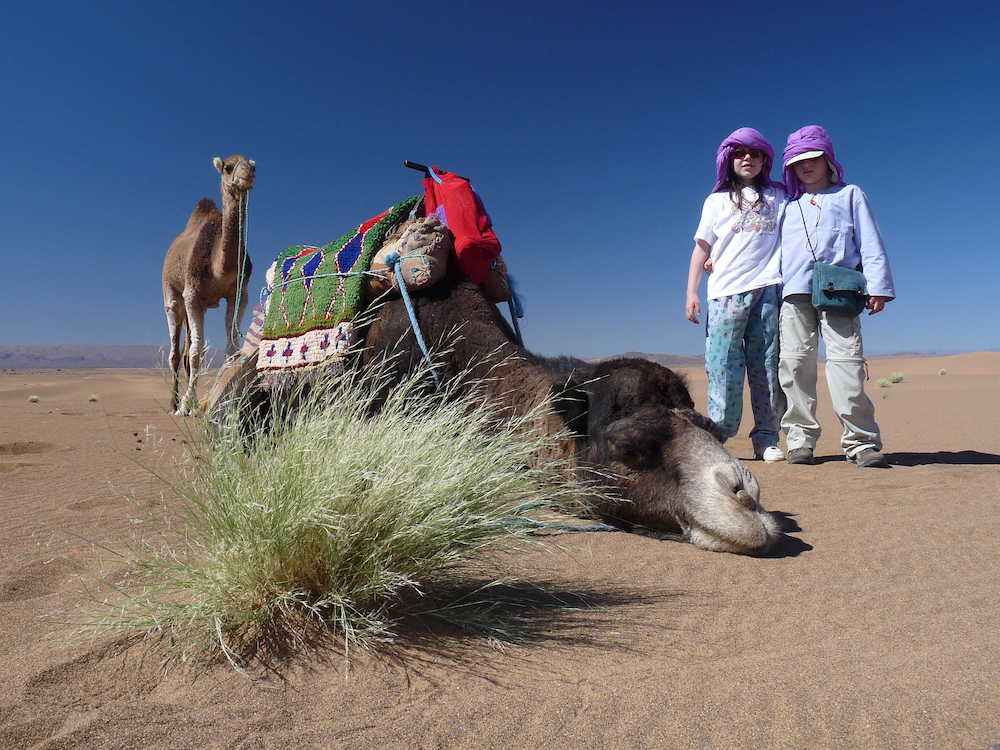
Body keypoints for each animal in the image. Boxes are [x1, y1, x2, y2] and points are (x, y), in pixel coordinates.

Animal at [162, 155, 256, 414]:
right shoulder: (192, 294)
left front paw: (224, 399)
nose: (247, 175)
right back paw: (174, 403)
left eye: (252, 166)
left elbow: (232, 346)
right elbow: (197, 352)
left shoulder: (239, 294)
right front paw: (187, 405)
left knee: (184, 351)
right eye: (228, 167)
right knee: (176, 353)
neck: (219, 268)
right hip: (173, 295)